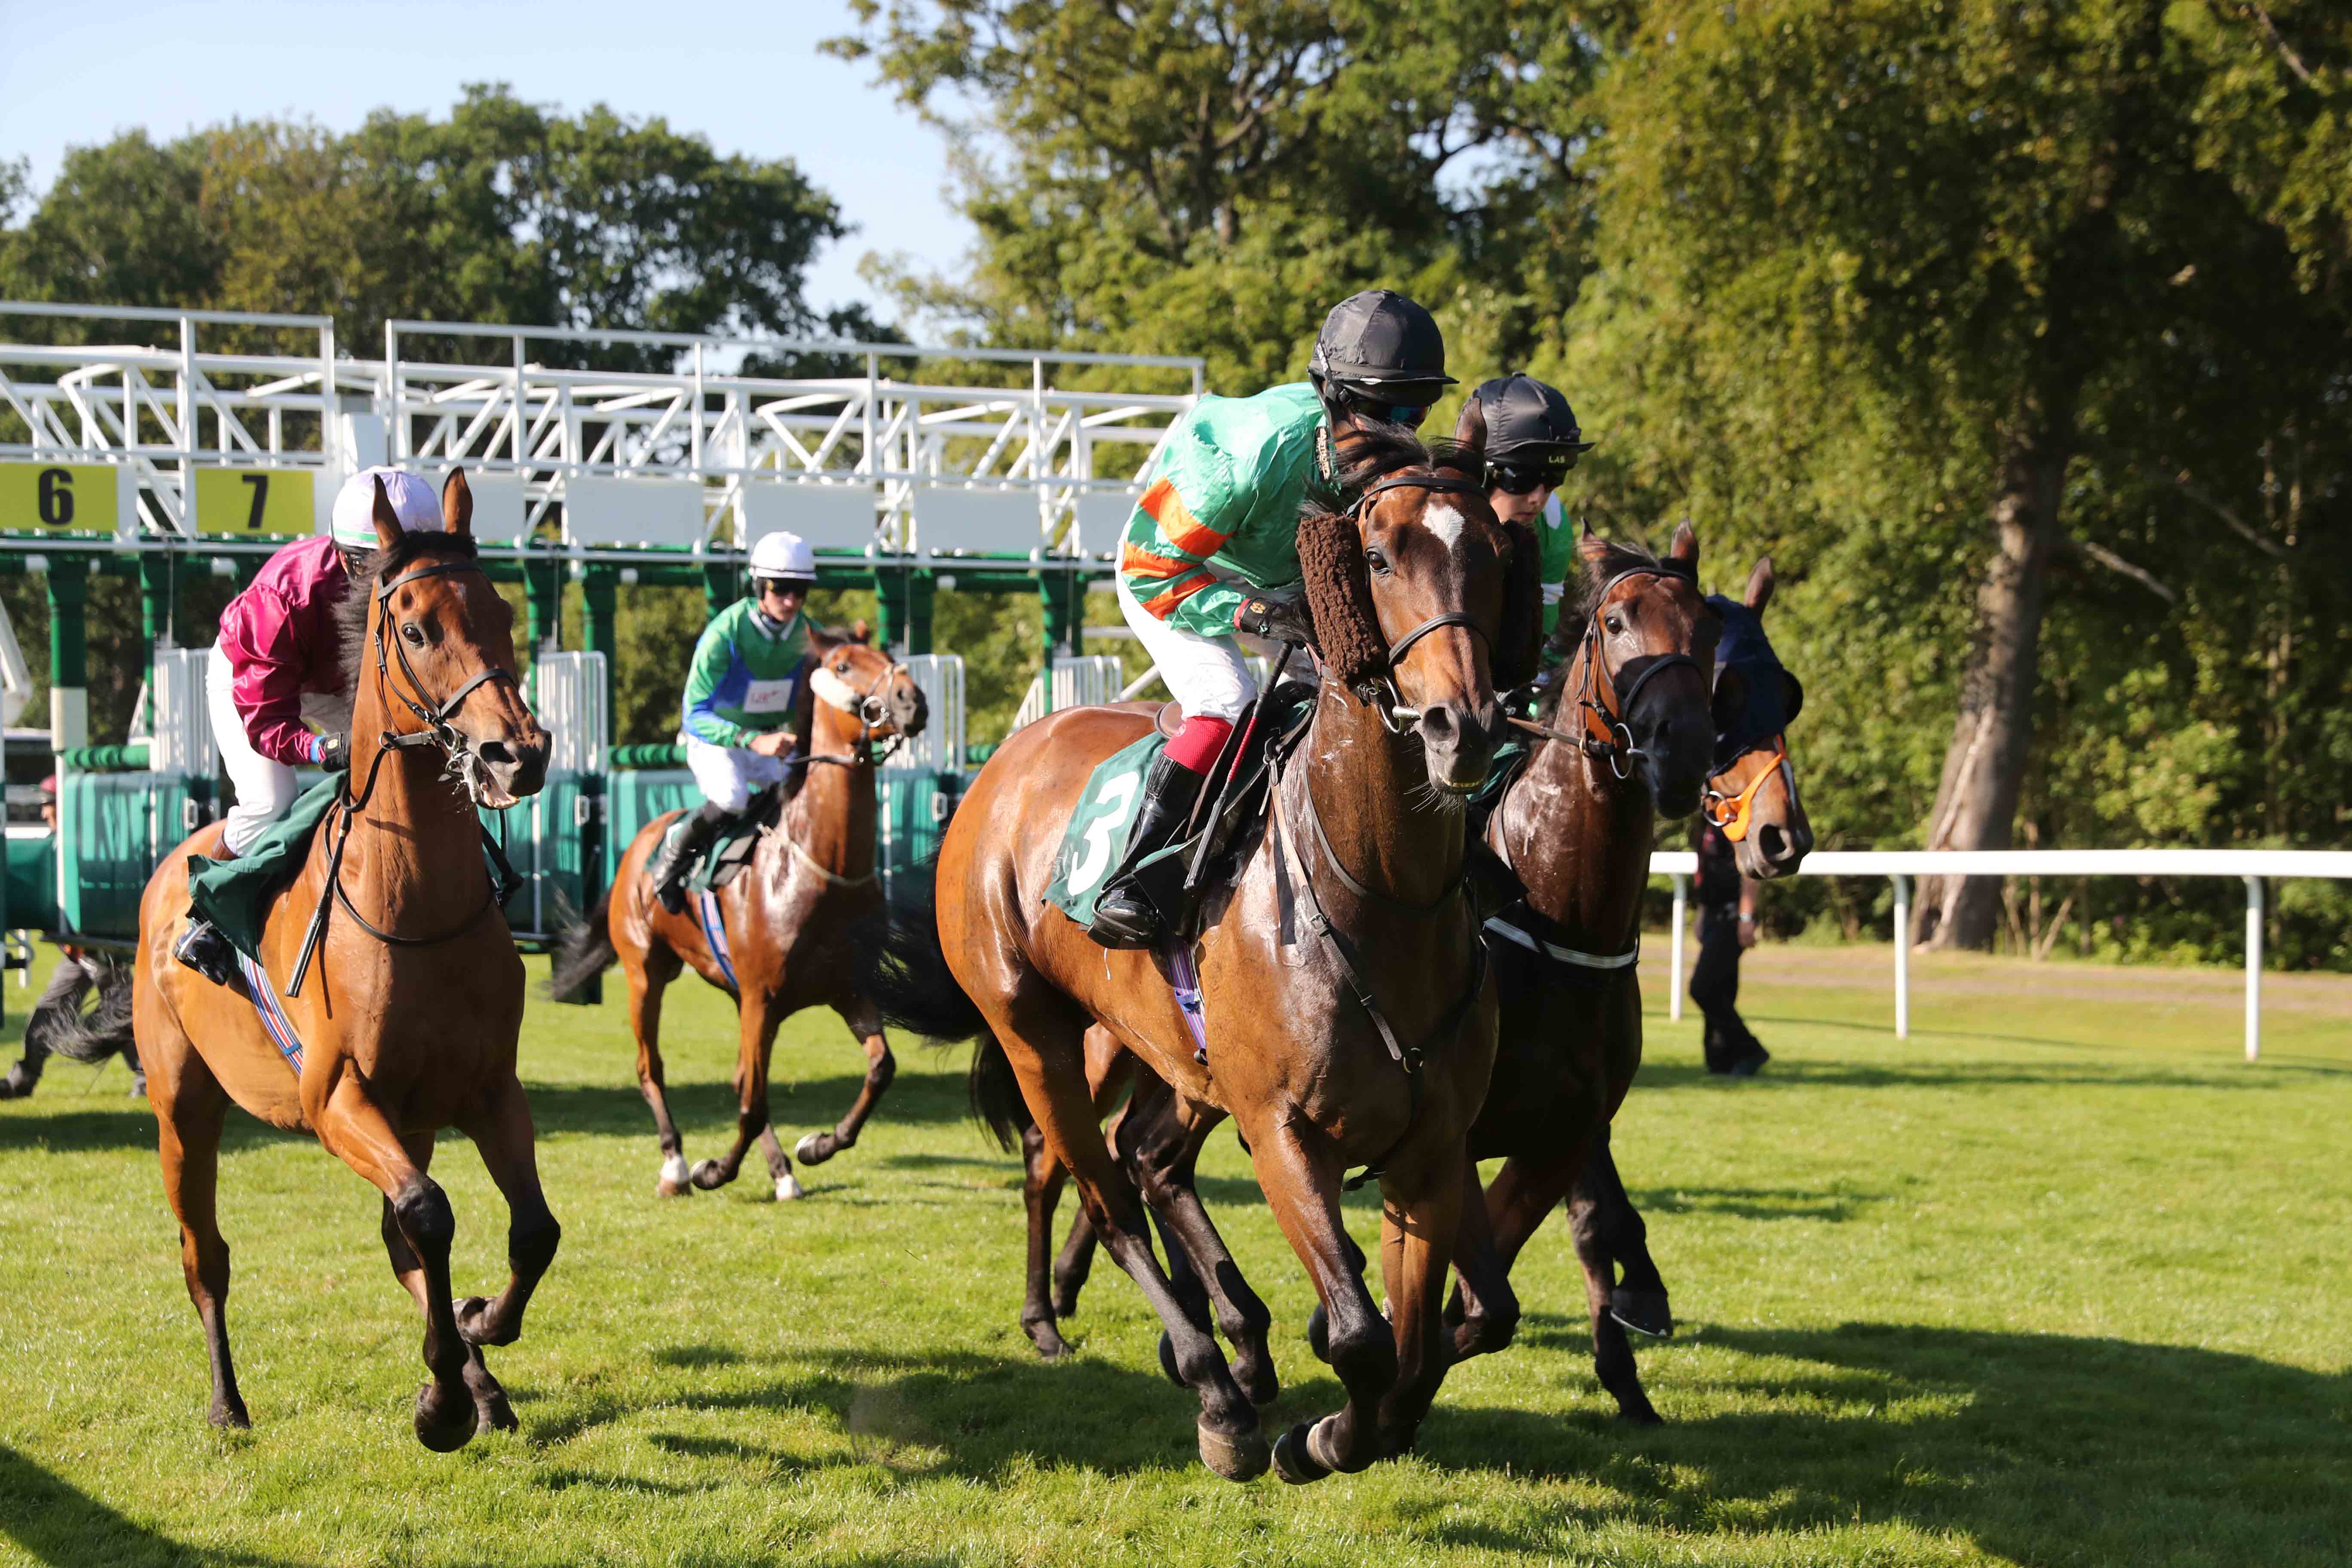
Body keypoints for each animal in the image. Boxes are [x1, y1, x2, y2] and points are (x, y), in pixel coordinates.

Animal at [125, 475, 555, 1448]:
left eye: (503, 611)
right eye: (417, 629)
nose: (516, 754)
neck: (413, 901)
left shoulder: (486, 1087)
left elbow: (527, 1231)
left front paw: (480, 1329)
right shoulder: (334, 1098)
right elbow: (430, 1211)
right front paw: (441, 1401)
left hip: (412, 1117)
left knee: (404, 1241)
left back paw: (480, 1380)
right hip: (182, 1107)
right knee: (205, 1254)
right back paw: (229, 1402)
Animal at [550, 625, 926, 1204]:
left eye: (888, 655)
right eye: (843, 665)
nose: (913, 701)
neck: (822, 865)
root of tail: (639, 842)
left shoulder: (845, 988)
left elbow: (881, 1069)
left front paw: (817, 1145)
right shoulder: (762, 997)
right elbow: (752, 1105)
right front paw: (714, 1170)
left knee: (741, 1078)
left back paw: (783, 1172)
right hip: (646, 973)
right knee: (651, 1068)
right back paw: (677, 1165)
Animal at [861, 416, 1543, 1485]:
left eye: (1491, 554)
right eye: (1379, 556)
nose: (1461, 726)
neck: (1378, 896)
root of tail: (1004, 762)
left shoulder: (1432, 1148)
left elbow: (1426, 1336)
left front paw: (1349, 1413)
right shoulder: (1283, 1130)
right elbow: (1362, 1337)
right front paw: (1317, 1436)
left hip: (1177, 1055)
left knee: (1148, 1160)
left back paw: (1243, 1344)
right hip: (1039, 1036)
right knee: (1102, 1192)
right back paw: (1213, 1384)